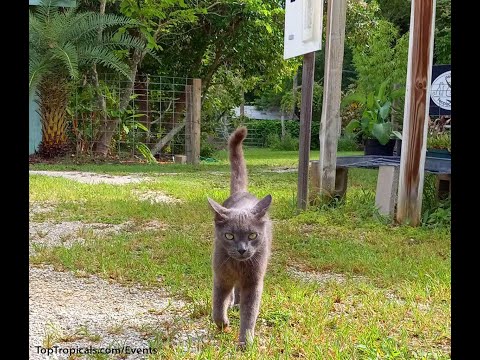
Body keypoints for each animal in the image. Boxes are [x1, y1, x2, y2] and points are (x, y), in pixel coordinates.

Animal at [207, 127, 274, 348]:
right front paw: (223, 324)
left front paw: (246, 342)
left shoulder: (254, 282)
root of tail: (242, 192)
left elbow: (250, 313)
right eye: (229, 235)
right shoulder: (220, 277)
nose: (242, 249)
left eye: (252, 235)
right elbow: (217, 306)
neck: (238, 266)